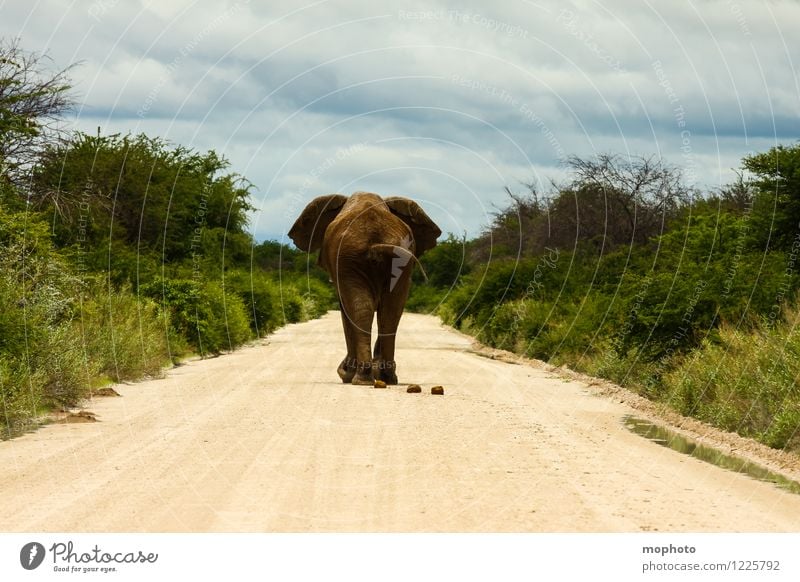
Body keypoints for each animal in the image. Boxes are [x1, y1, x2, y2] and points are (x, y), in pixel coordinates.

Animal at [288, 193, 440, 388]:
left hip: (349, 259)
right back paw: (387, 378)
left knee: (363, 308)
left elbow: (346, 311)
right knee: (389, 311)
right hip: (395, 259)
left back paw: (359, 379)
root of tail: (375, 240)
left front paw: (345, 374)